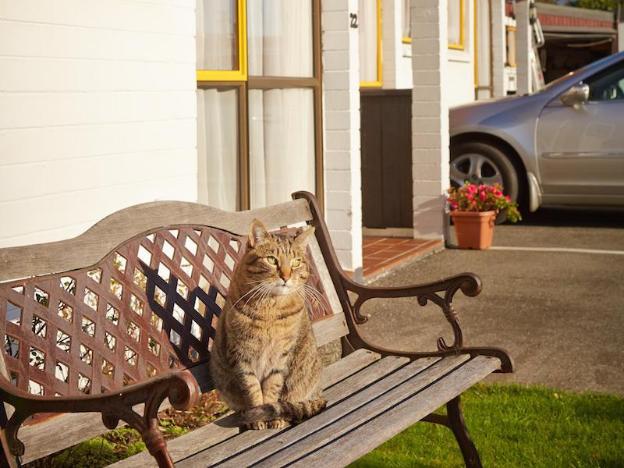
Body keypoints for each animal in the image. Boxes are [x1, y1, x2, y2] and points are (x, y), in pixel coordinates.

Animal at [210, 218, 326, 430]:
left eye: (296, 262)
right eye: (272, 260)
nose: (286, 276)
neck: (269, 310)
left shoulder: (280, 356)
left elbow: (272, 390)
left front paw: (272, 417)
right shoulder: (241, 355)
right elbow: (253, 390)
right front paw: (258, 418)